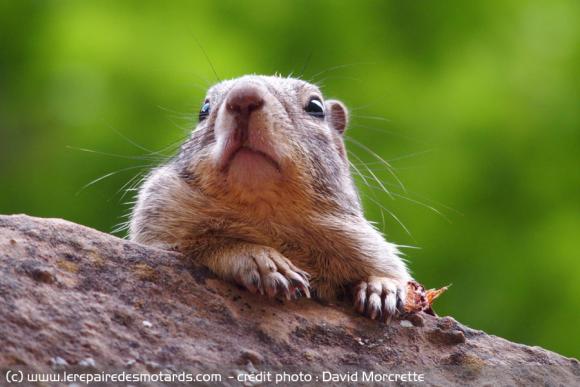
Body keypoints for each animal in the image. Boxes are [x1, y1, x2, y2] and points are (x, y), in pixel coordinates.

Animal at [131, 74, 412, 320]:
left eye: (316, 106)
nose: (243, 96)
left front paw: (382, 287)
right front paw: (264, 262)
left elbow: (388, 270)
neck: (265, 212)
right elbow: (211, 245)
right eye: (204, 109)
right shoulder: (160, 219)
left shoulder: (367, 245)